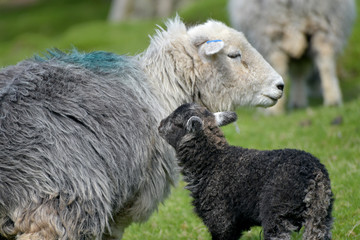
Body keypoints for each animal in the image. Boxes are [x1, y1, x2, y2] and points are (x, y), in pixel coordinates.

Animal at [159, 102, 334, 239]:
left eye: (175, 122)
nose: (159, 125)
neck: (212, 161)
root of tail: (314, 173)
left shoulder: (220, 220)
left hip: (278, 213)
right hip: (321, 214)